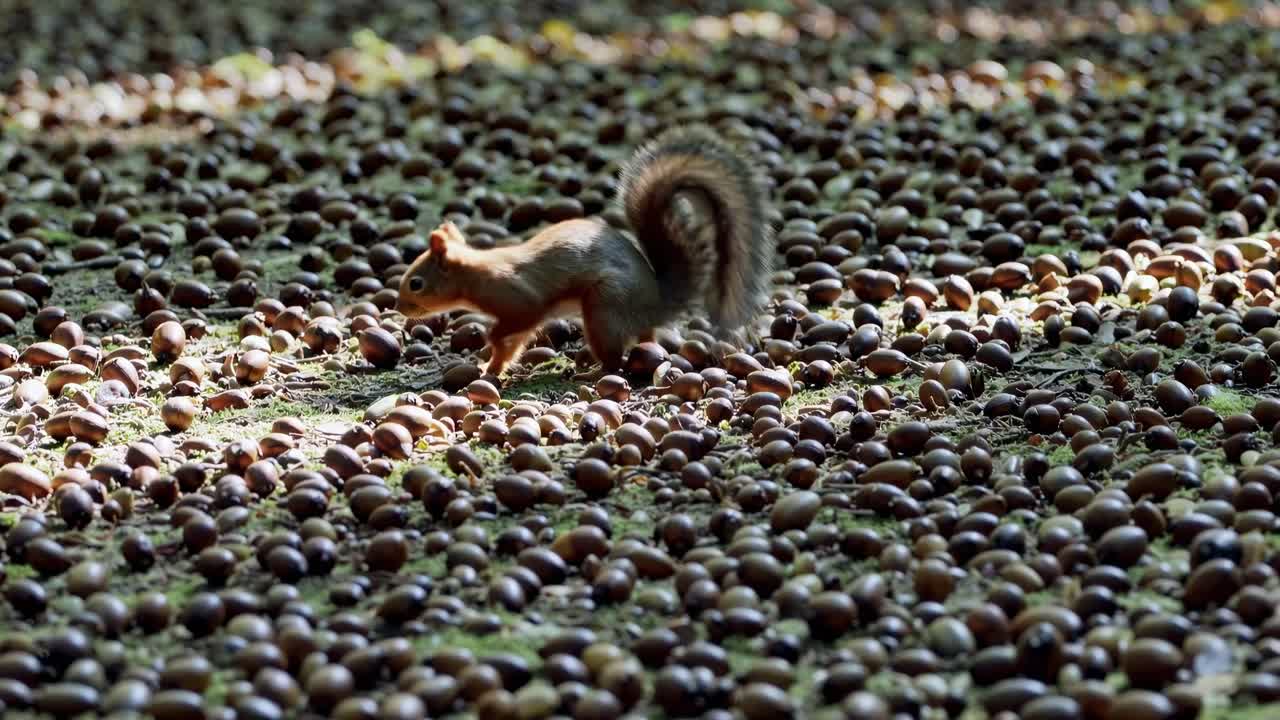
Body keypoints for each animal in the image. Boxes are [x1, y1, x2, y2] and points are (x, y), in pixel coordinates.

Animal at [396, 126, 775, 378]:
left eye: (416, 283)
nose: (399, 308)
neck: (477, 274)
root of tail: (656, 301)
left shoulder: (518, 299)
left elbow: (516, 325)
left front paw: (490, 343)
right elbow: (511, 348)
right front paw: (490, 366)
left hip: (602, 308)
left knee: (615, 360)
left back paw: (592, 372)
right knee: (644, 339)